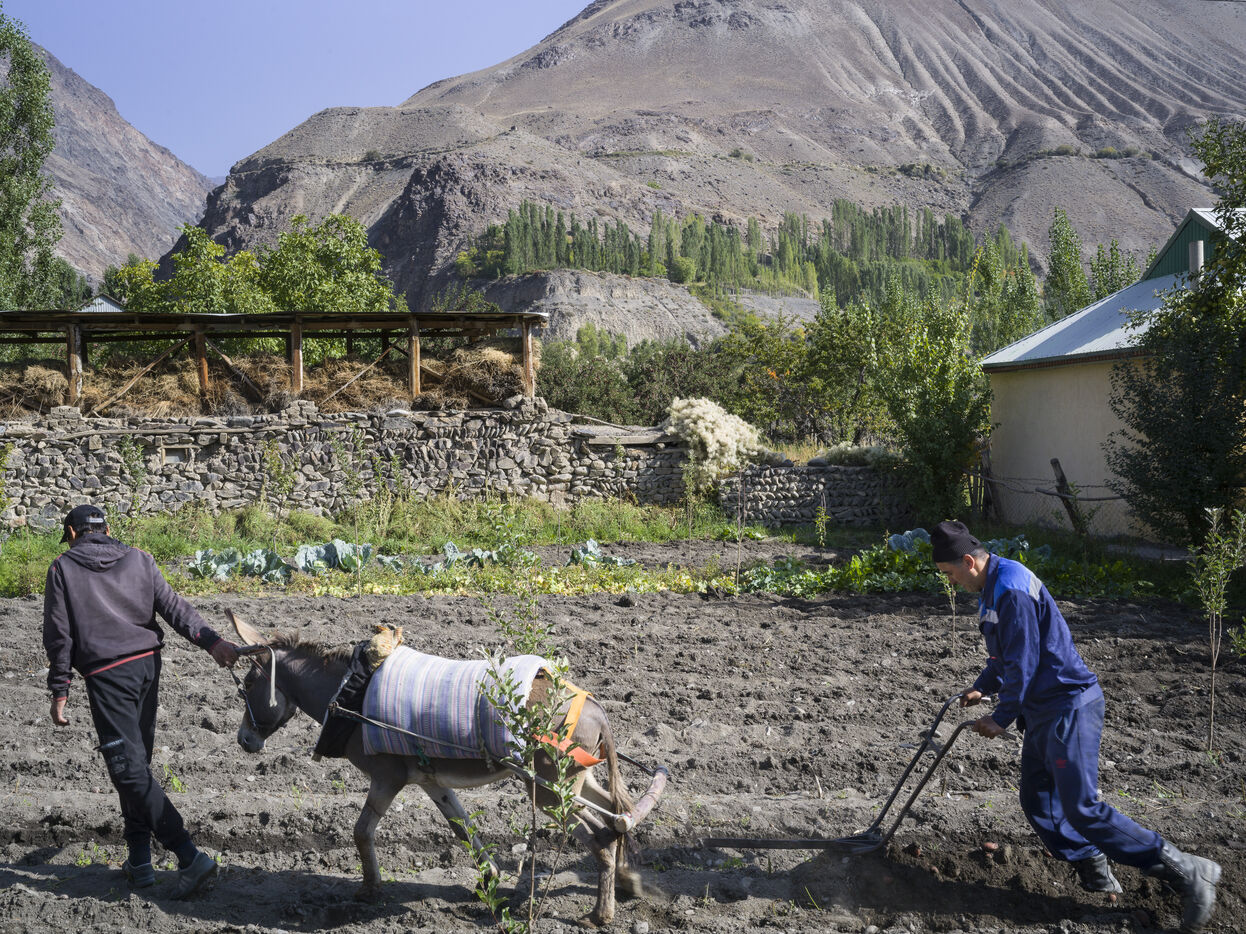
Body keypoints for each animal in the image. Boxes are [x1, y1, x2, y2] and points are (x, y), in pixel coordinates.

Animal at [226, 611, 666, 926]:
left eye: (247, 685)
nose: (244, 741)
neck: (352, 693)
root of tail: (593, 707)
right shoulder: (430, 780)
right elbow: (461, 827)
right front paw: (489, 878)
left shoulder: (387, 779)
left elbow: (362, 831)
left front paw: (370, 890)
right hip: (575, 780)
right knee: (620, 815)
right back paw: (627, 883)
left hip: (547, 791)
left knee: (602, 836)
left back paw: (601, 914)